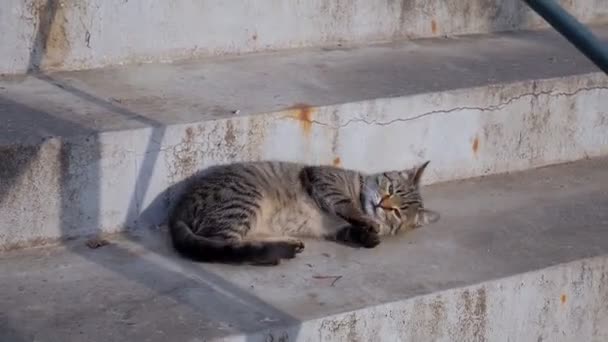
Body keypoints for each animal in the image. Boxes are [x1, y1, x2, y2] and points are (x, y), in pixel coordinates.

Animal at [169, 160, 440, 264]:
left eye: (398, 213)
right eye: (391, 188)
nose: (383, 204)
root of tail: (180, 205)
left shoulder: (334, 229)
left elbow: (352, 230)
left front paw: (370, 235)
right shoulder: (323, 179)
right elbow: (347, 205)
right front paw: (368, 222)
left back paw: (287, 245)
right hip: (244, 201)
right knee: (222, 244)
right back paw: (271, 254)